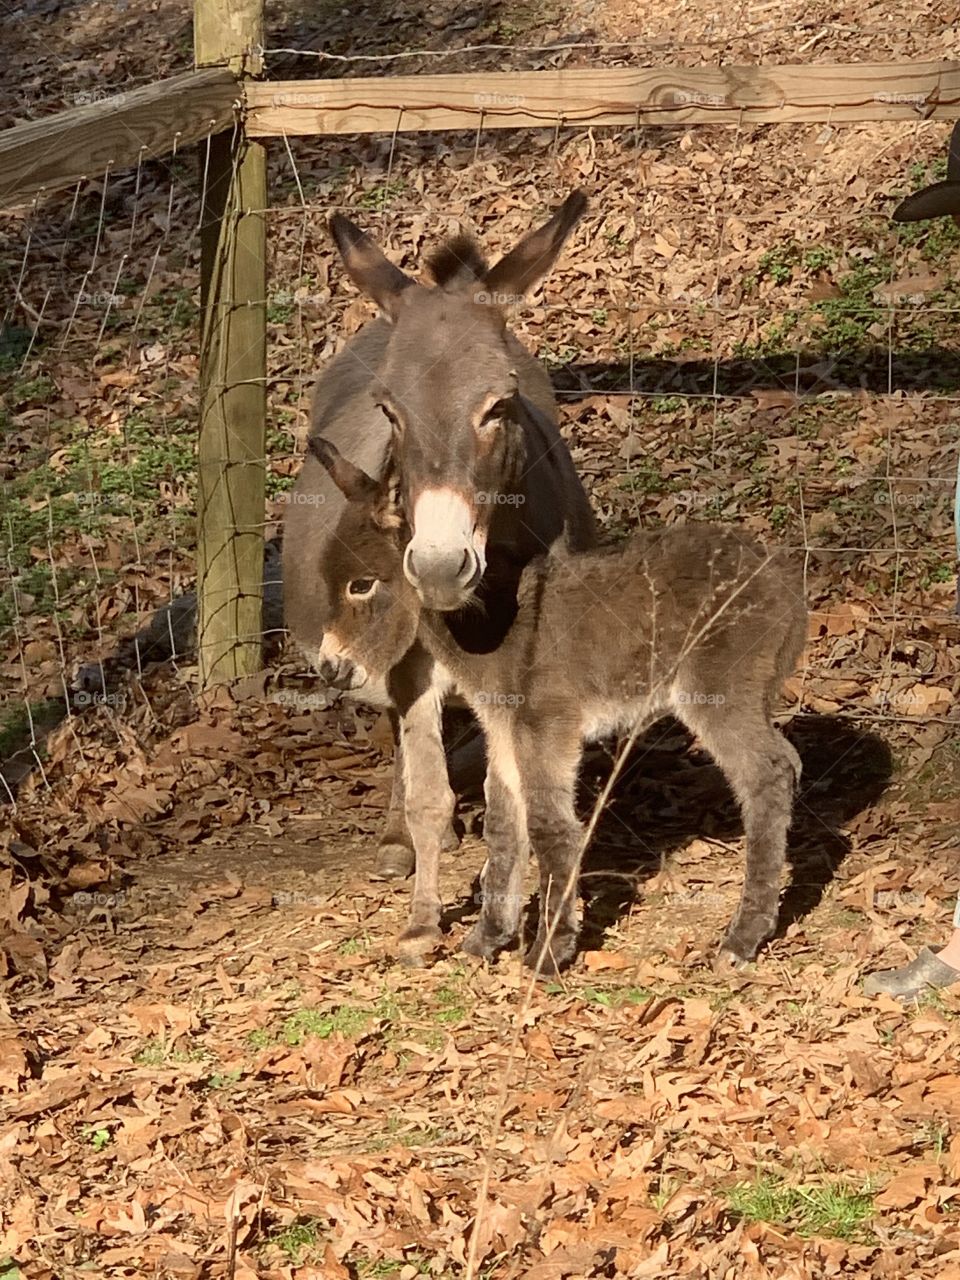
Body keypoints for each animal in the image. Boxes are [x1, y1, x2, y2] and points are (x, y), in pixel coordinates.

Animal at [313, 435, 803, 972]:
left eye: (362, 584)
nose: (329, 668)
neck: (485, 632)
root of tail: (788, 584)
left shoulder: (545, 722)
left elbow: (550, 826)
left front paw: (549, 950)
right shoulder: (503, 727)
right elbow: (504, 825)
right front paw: (488, 938)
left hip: (718, 690)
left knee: (766, 775)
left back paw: (743, 937)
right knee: (789, 763)